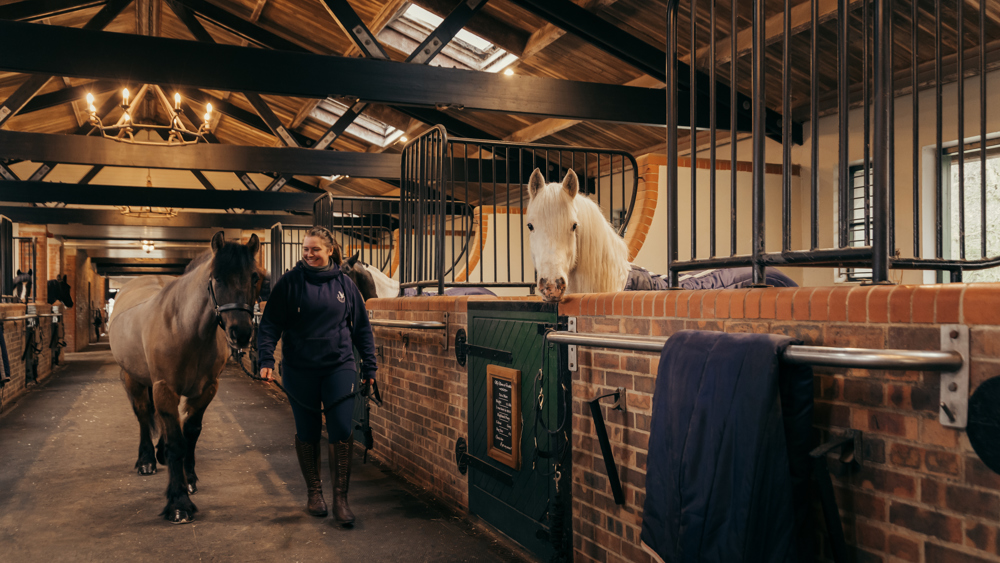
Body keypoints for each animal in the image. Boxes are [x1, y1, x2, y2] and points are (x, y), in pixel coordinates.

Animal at [109, 231, 262, 524]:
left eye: (255, 277)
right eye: (216, 277)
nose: (241, 333)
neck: (186, 328)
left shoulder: (207, 389)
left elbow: (190, 433)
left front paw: (188, 479)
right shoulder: (165, 389)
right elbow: (177, 443)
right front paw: (179, 503)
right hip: (133, 378)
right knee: (143, 414)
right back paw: (146, 460)